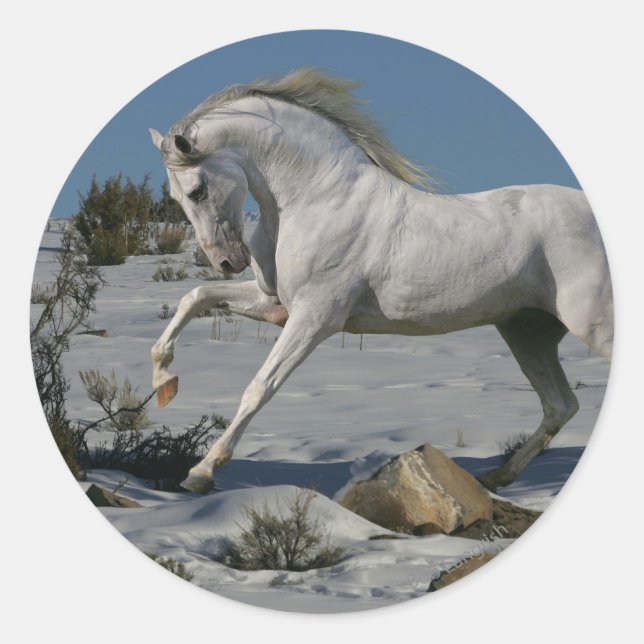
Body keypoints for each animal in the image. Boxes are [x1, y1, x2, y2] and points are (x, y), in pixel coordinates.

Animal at [148, 68, 613, 494]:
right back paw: (495, 477)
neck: (316, 199)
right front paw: (163, 382)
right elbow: (195, 297)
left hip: (591, 323)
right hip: (526, 330)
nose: (227, 261)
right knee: (560, 405)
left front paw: (201, 472)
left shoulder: (316, 317)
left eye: (197, 190)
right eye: (177, 197)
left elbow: (259, 387)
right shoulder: (273, 303)